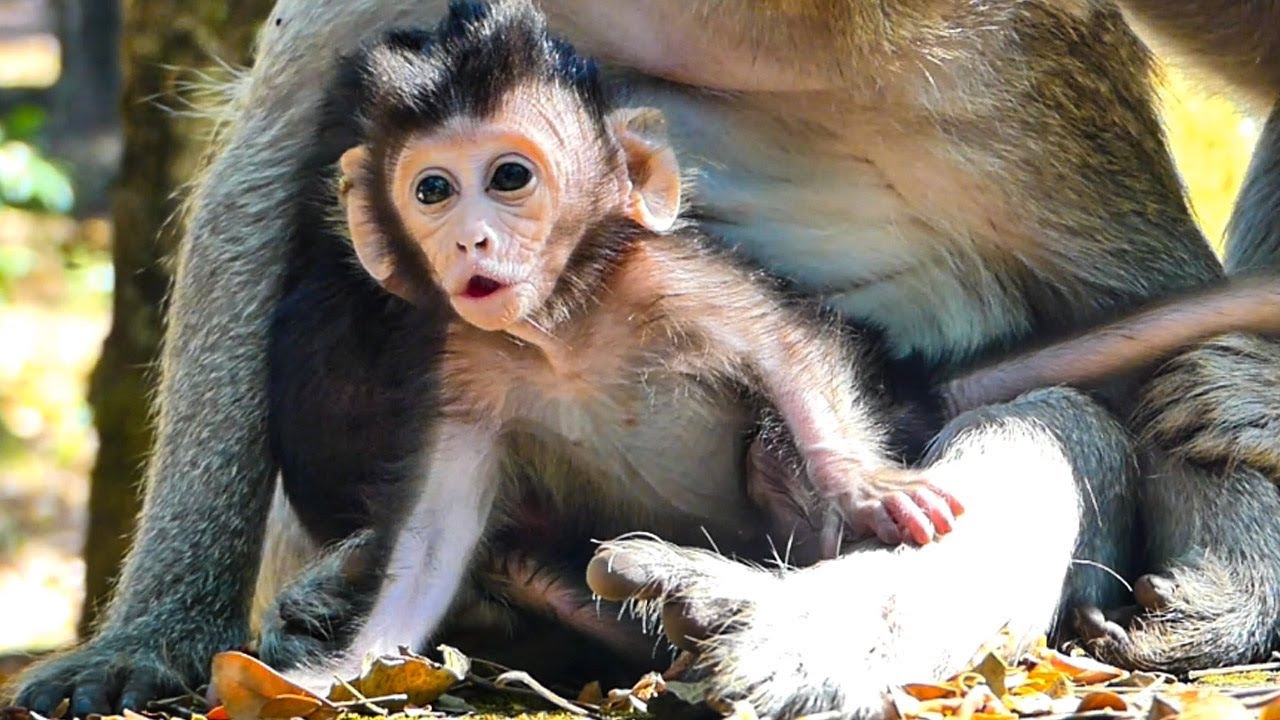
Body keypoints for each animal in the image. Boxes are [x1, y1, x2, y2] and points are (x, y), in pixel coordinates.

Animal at [12, 0, 1275, 717]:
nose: (473, 243)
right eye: (437, 188)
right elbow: (262, 175)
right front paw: (149, 638)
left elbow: (1137, 320)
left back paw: (764, 626)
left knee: (1057, 420)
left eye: (513, 176)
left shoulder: (1014, 62)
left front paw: (1223, 592)